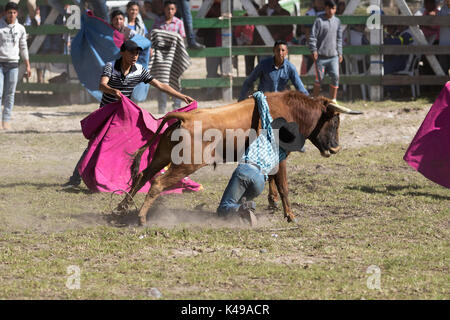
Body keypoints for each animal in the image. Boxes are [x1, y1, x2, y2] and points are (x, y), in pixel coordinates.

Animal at [118, 90, 360, 225]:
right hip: (186, 164)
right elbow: (283, 186)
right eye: (335, 121)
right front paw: (290, 215)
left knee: (142, 175)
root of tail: (185, 117)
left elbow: (273, 182)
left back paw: (122, 207)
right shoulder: (281, 157)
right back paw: (141, 218)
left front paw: (273, 203)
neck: (290, 110)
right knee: (157, 182)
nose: (336, 148)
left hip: (162, 156)